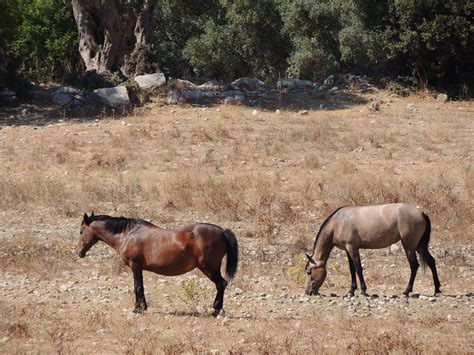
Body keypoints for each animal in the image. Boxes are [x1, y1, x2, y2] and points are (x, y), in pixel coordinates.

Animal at [80, 213, 241, 316]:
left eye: (81, 231)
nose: (79, 252)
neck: (128, 234)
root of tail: (222, 231)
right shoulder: (138, 268)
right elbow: (140, 286)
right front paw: (142, 307)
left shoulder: (135, 266)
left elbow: (137, 287)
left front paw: (138, 309)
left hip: (209, 268)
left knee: (221, 283)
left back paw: (217, 310)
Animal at [306, 203, 442, 298]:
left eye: (309, 272)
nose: (308, 292)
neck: (337, 223)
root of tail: (421, 213)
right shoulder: (348, 250)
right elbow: (351, 270)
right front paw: (351, 291)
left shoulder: (352, 248)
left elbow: (358, 269)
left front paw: (363, 291)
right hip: (419, 246)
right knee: (431, 261)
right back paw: (437, 290)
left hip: (409, 246)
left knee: (414, 265)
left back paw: (406, 291)